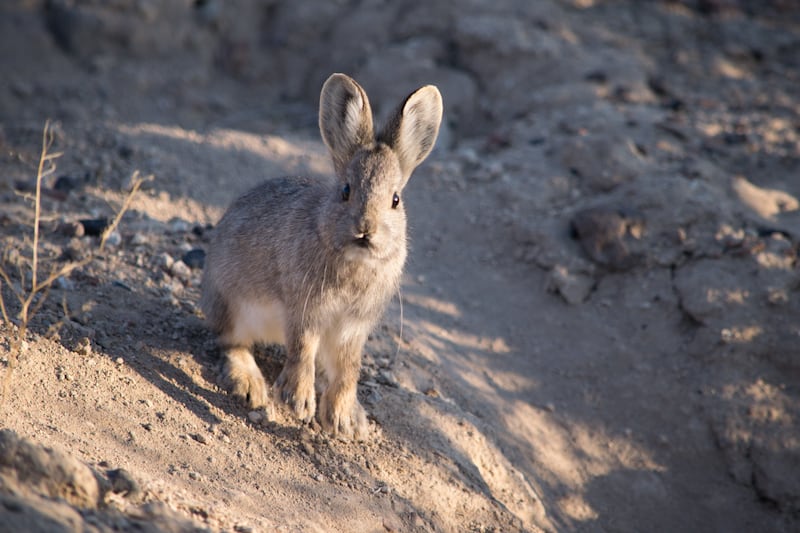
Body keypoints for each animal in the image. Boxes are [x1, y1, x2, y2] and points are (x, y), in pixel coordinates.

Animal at [200, 73, 443, 440]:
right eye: (345, 191)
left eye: (395, 200)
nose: (365, 229)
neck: (353, 260)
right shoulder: (305, 311)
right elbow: (302, 349)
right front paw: (298, 402)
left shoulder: (353, 328)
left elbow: (348, 369)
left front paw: (342, 419)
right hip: (232, 305)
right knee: (232, 343)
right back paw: (250, 385)